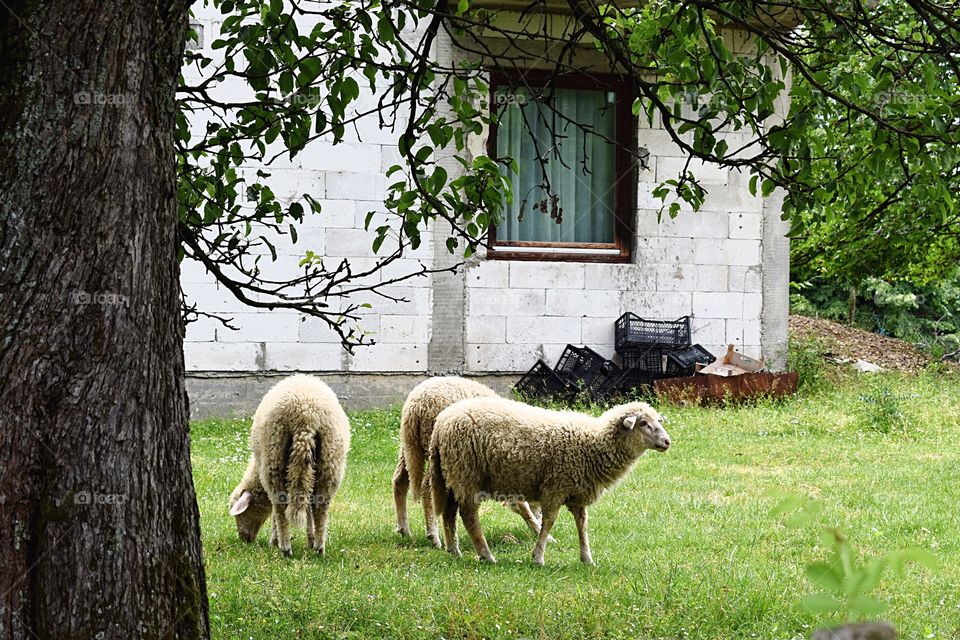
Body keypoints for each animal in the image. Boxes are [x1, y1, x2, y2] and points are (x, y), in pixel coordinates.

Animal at [228, 374, 351, 557]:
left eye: (241, 514)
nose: (244, 539)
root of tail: (306, 416)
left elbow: (276, 511)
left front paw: (275, 540)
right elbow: (307, 505)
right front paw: (310, 539)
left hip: (274, 457)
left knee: (279, 507)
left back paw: (284, 548)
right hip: (330, 460)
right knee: (321, 507)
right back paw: (319, 548)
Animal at [393, 376, 546, 547]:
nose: (541, 518)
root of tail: (416, 405)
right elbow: (521, 506)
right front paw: (543, 534)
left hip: (410, 446)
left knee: (399, 480)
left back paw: (405, 530)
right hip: (433, 447)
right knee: (427, 489)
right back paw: (434, 536)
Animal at [429, 398, 671, 566]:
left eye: (658, 421)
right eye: (643, 423)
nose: (668, 442)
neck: (593, 443)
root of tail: (441, 423)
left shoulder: (577, 492)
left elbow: (582, 524)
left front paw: (587, 558)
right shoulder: (555, 487)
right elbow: (548, 523)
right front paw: (538, 557)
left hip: (452, 474)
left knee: (450, 512)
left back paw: (454, 551)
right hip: (466, 473)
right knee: (469, 516)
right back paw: (486, 555)